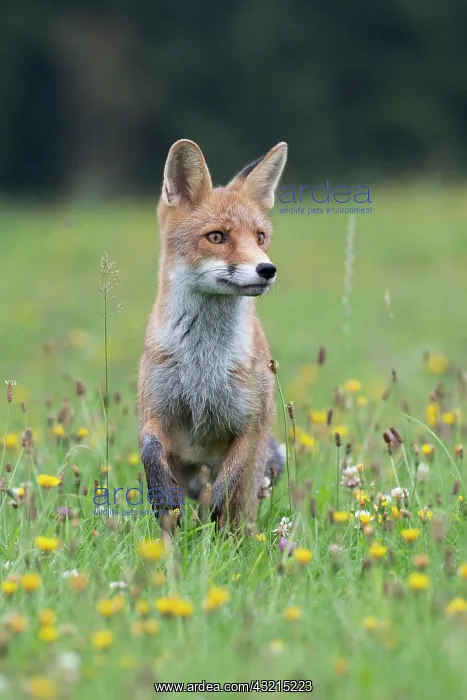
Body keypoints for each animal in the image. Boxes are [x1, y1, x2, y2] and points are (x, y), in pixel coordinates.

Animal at [138, 139, 288, 528]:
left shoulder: (249, 424)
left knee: (239, 512)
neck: (202, 364)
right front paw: (164, 497)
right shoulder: (154, 412)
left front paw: (211, 514)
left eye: (260, 237)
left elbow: (226, 486)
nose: (267, 269)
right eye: (217, 236)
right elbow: (148, 449)